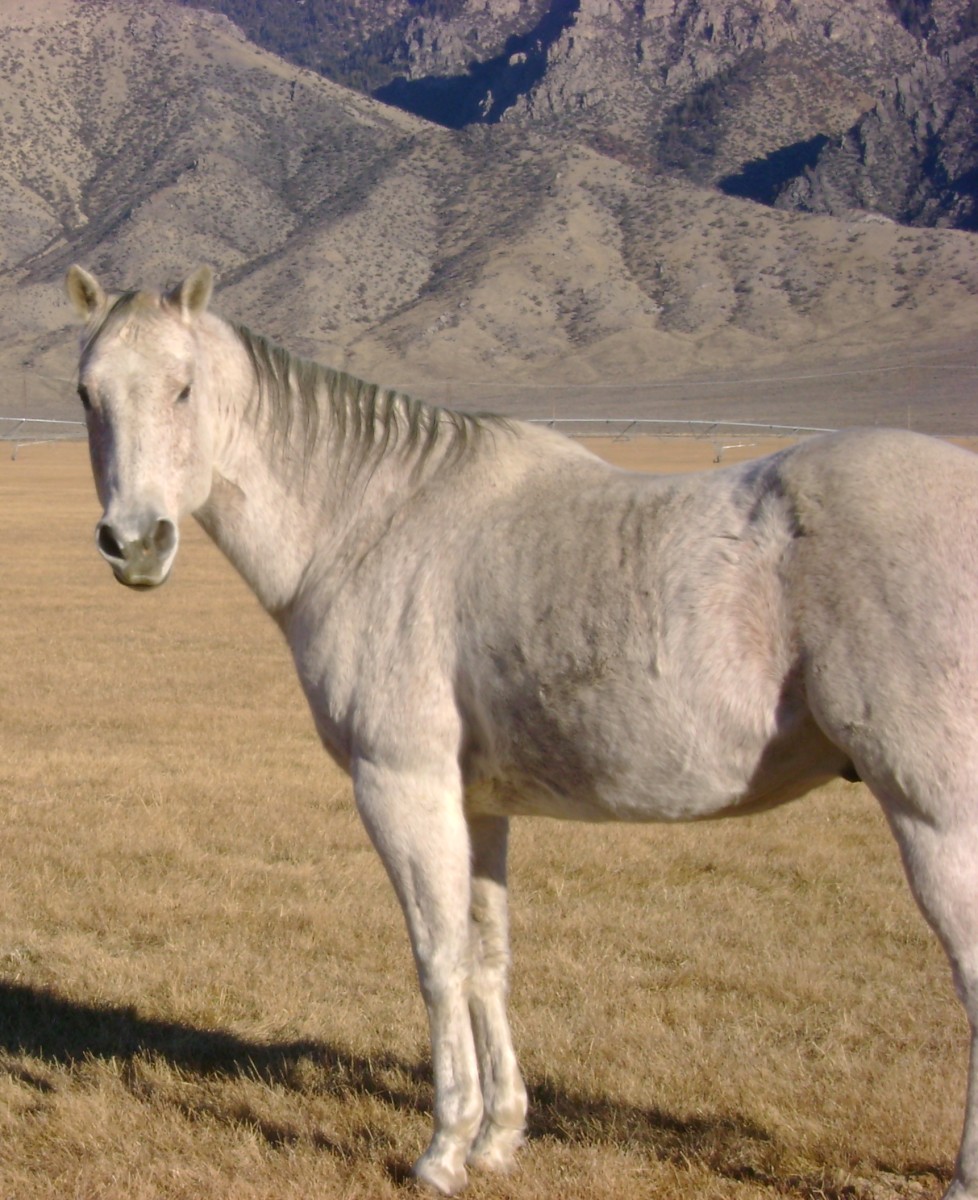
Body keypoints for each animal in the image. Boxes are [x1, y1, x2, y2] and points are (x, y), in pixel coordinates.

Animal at [66, 267, 978, 1195]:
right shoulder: (478, 805)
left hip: (937, 815)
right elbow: (488, 960)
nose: (135, 543)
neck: (371, 522)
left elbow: (438, 960)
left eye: (183, 388)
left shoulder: (402, 786)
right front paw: (499, 1136)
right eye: (87, 394)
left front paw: (443, 1150)